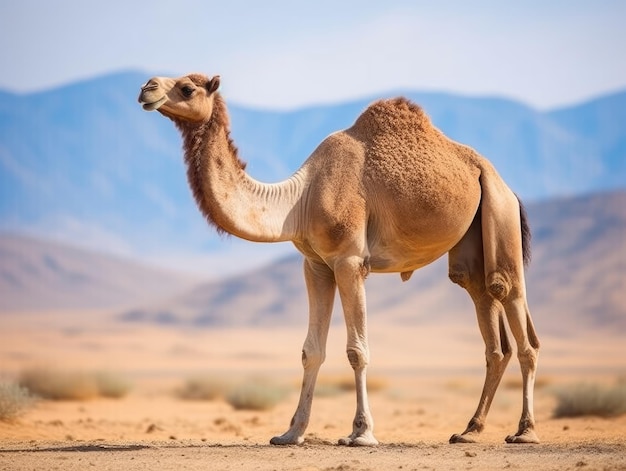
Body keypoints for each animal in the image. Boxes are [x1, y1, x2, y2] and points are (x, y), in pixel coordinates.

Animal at [136, 73, 536, 446]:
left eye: (187, 88)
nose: (146, 88)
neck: (300, 198)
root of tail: (503, 183)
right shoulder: (316, 265)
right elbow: (311, 351)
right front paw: (290, 433)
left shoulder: (349, 261)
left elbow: (357, 350)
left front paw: (361, 433)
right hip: (472, 243)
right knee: (486, 314)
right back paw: (470, 430)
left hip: (500, 213)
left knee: (511, 301)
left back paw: (524, 432)